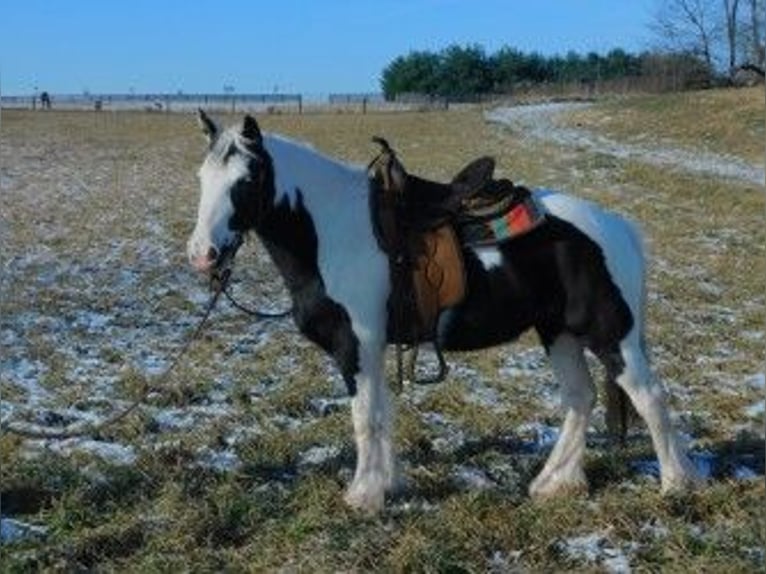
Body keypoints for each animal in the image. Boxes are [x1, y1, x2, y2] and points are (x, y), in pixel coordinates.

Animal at [186, 110, 704, 516]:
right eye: (202, 179)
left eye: (246, 180)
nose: (202, 254)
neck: (332, 231)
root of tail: (614, 225)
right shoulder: (373, 348)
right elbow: (381, 412)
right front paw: (388, 485)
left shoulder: (357, 343)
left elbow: (365, 417)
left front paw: (363, 496)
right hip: (558, 332)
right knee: (580, 397)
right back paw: (555, 482)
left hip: (609, 333)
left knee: (649, 397)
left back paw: (676, 486)